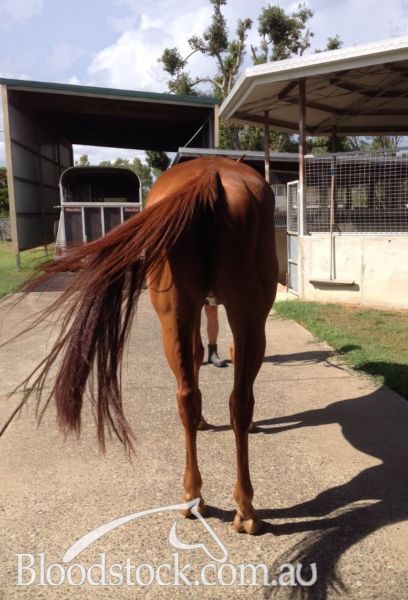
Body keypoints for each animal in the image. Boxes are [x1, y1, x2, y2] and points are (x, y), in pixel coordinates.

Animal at [3, 156, 278, 534]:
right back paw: (223, 503)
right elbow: (200, 359)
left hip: (204, 314)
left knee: (208, 398)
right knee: (219, 399)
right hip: (222, 315)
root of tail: (211, 174)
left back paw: (215, 501)